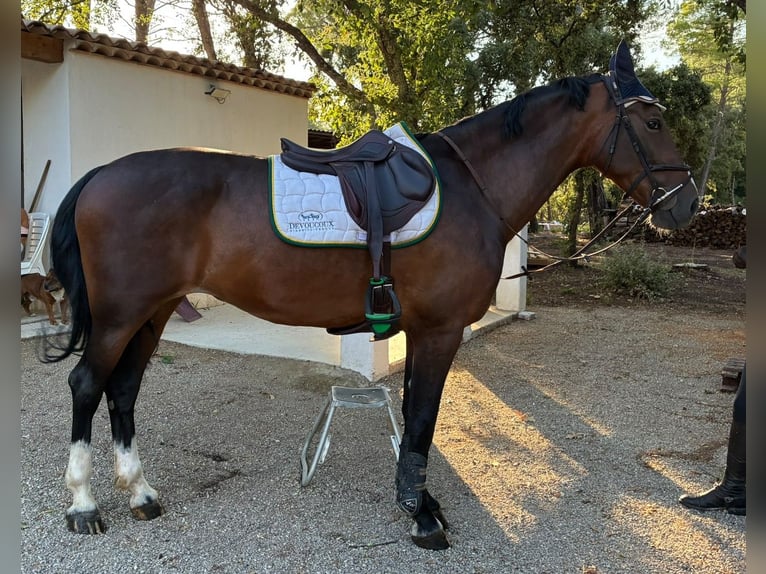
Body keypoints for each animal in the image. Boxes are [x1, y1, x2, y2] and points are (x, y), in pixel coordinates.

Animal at [44, 42, 697, 550]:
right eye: (653, 123)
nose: (689, 203)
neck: (471, 188)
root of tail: (100, 175)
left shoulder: (424, 329)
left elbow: (412, 418)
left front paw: (418, 500)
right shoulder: (439, 331)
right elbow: (424, 420)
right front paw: (422, 515)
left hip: (151, 312)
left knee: (123, 389)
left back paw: (140, 493)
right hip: (120, 315)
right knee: (87, 385)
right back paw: (83, 505)